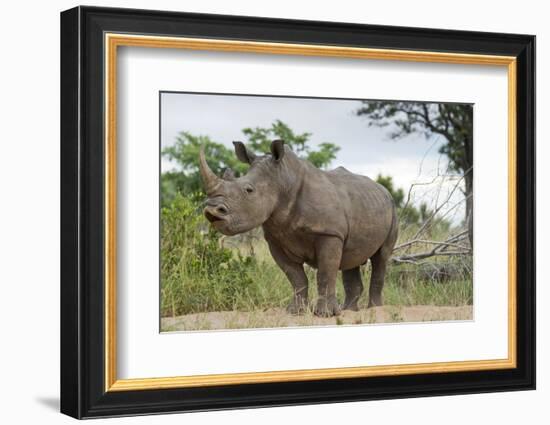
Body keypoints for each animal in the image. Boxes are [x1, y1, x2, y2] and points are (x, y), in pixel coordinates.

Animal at [201, 141, 398, 316]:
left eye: (248, 190)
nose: (212, 210)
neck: (283, 181)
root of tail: (383, 189)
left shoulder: (329, 233)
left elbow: (325, 274)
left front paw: (325, 314)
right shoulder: (275, 240)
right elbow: (295, 276)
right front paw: (296, 312)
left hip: (391, 208)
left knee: (381, 257)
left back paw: (375, 310)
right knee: (352, 258)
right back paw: (348, 311)